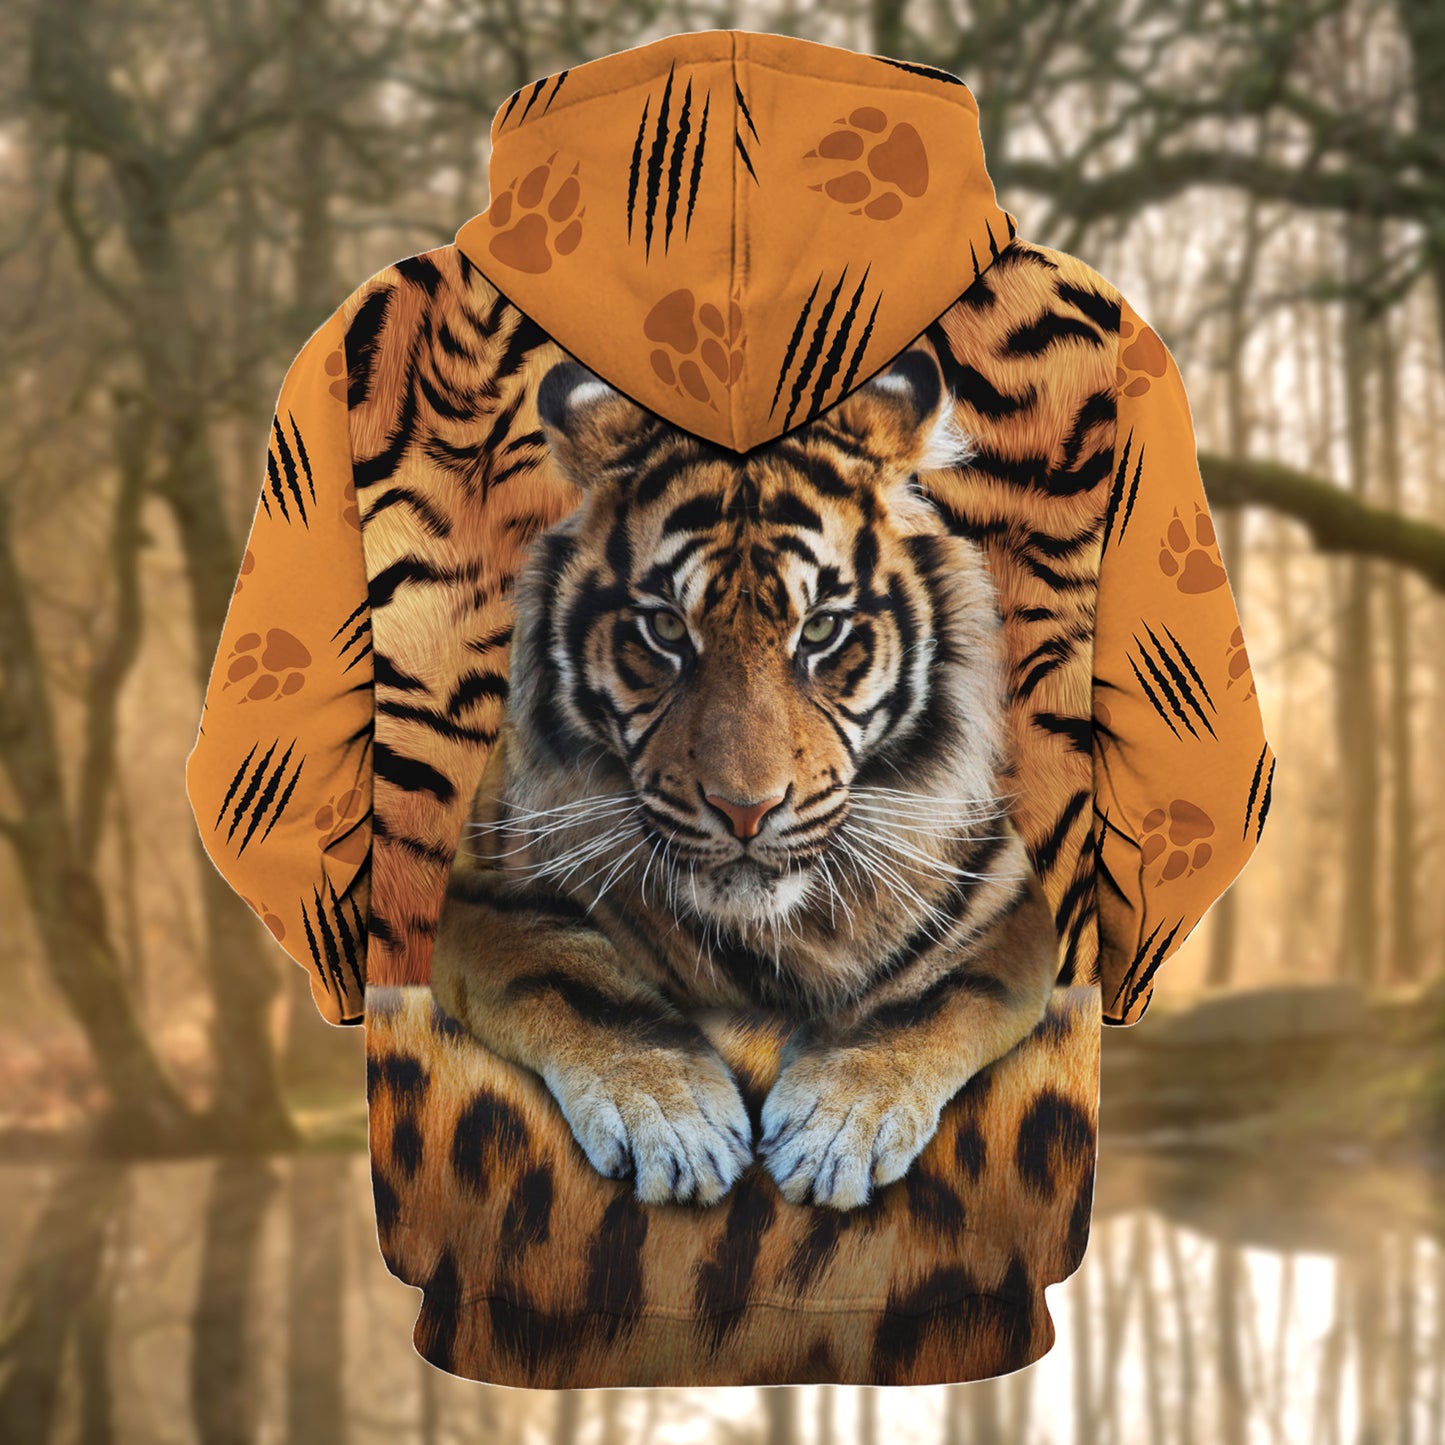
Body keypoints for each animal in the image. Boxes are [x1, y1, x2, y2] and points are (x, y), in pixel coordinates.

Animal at [427, 346, 1062, 1212]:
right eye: (665, 628)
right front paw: (675, 1125)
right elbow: (579, 981)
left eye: (820, 629)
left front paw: (832, 1134)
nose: (744, 811)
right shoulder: (488, 891)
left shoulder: (1001, 905)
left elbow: (920, 1001)